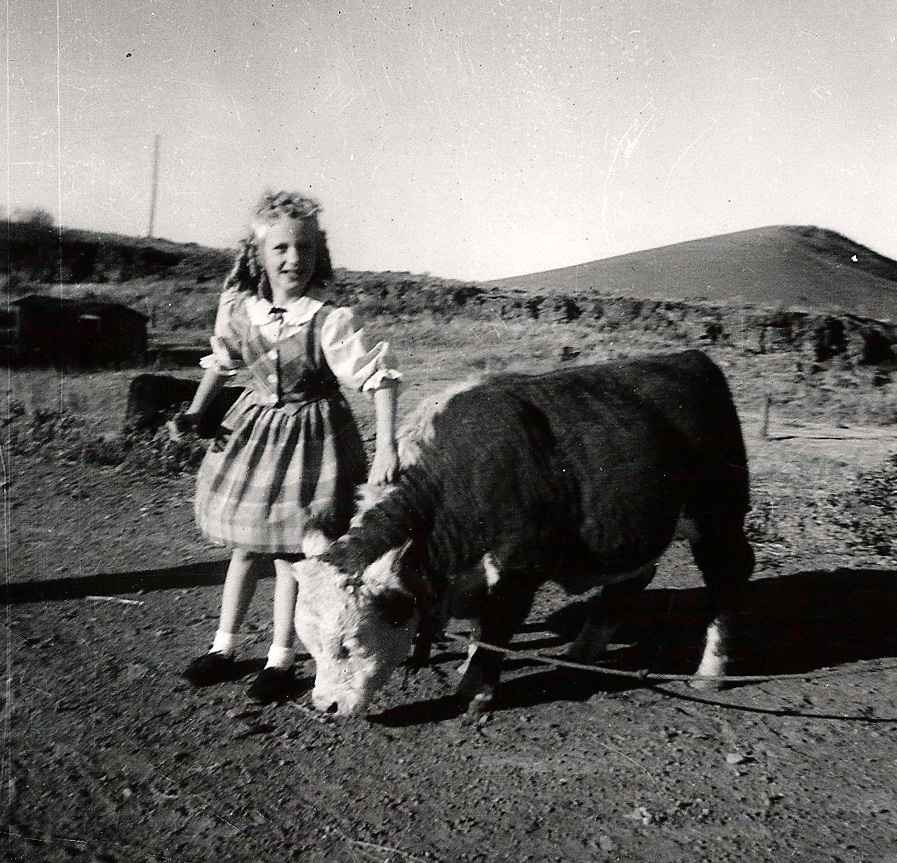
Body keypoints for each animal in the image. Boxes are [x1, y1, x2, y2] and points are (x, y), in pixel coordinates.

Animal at [292, 350, 754, 716]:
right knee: (635, 577)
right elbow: (481, 628)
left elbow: (496, 630)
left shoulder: (519, 569)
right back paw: (584, 650)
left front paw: (473, 691)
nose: (325, 706)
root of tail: (692, 359)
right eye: (309, 646)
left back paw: (710, 672)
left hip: (719, 517)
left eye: (349, 643)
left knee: (728, 578)